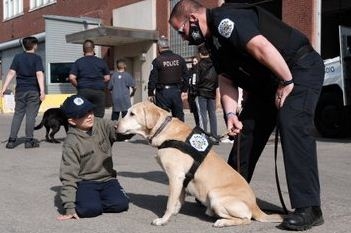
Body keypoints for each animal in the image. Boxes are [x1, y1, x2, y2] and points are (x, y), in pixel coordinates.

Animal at [117, 101, 282, 227]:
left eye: (132, 114)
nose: (115, 126)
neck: (164, 130)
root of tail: (255, 206)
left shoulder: (175, 176)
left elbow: (170, 203)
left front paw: (163, 220)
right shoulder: (182, 180)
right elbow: (178, 200)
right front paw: (174, 212)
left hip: (215, 195)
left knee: (246, 219)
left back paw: (222, 222)